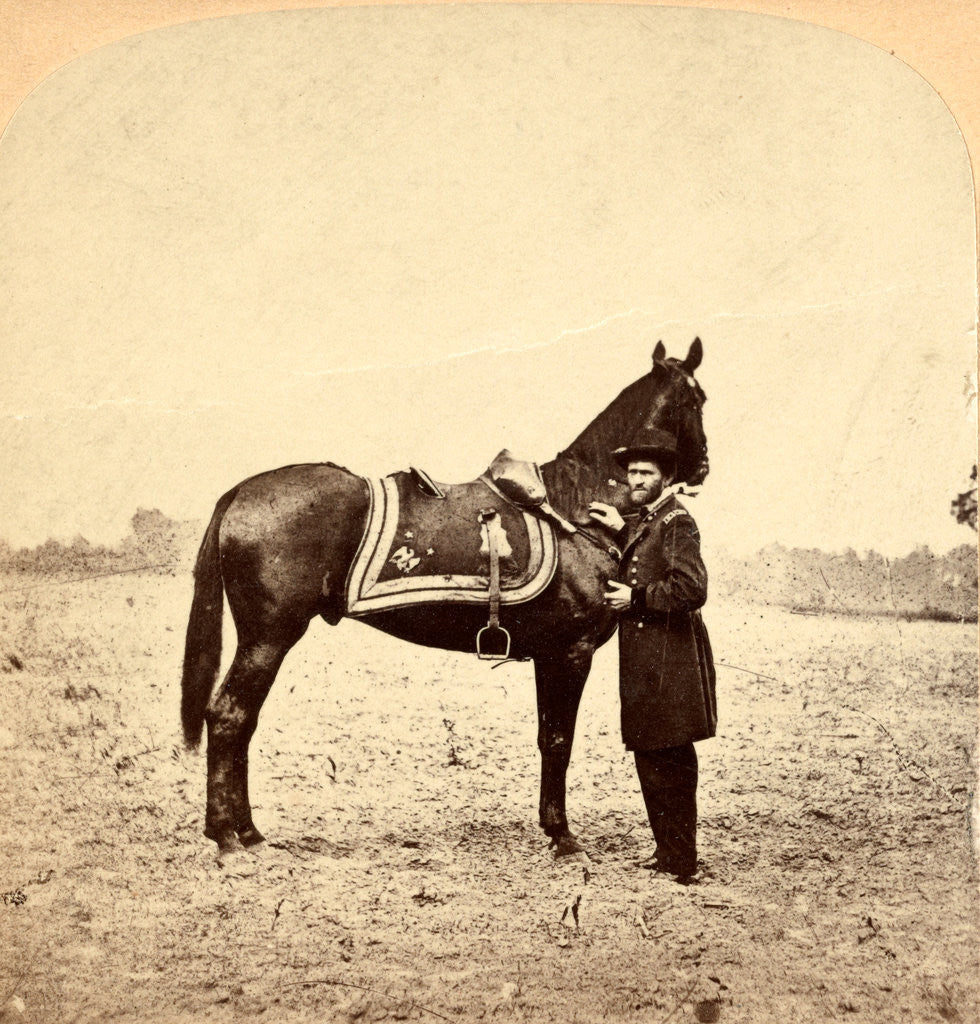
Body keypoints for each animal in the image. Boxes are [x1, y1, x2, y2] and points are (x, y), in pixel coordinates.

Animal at [180, 339, 709, 859]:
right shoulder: (570, 653)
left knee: (241, 722)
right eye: (696, 400)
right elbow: (560, 741)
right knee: (228, 716)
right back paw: (228, 837)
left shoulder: (548, 655)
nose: (703, 465)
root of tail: (240, 492)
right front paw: (563, 837)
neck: (574, 508)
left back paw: (247, 832)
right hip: (268, 638)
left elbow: (546, 739)